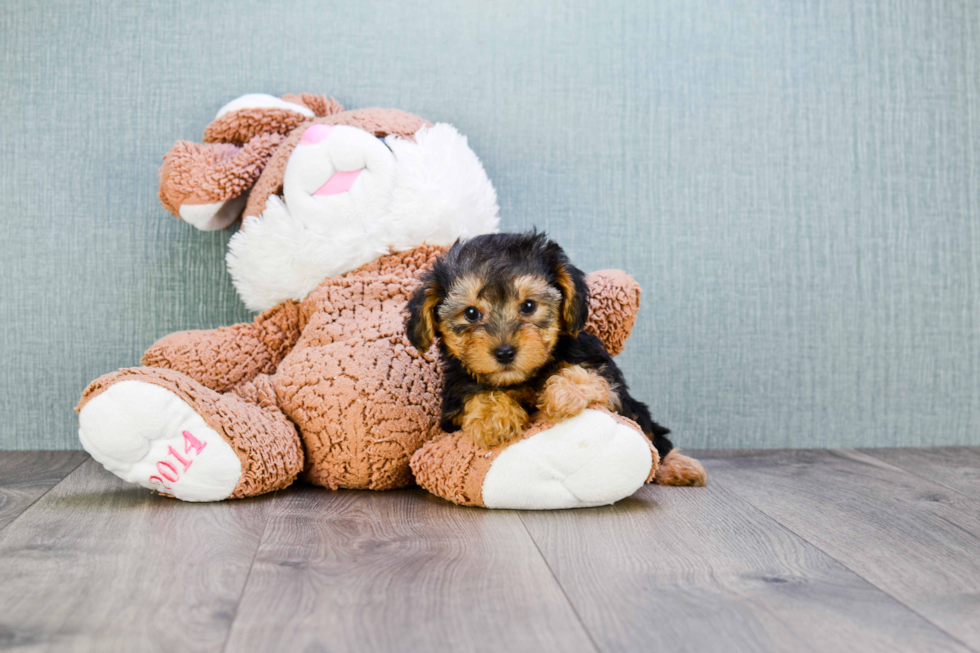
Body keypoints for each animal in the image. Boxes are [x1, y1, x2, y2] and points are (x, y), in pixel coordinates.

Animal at [406, 233, 704, 484]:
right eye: (470, 313)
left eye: (529, 306)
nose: (504, 352)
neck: (525, 378)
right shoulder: (452, 406)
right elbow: (475, 392)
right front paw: (494, 419)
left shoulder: (605, 378)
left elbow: (587, 376)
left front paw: (564, 394)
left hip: (638, 411)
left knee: (655, 438)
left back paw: (680, 468)